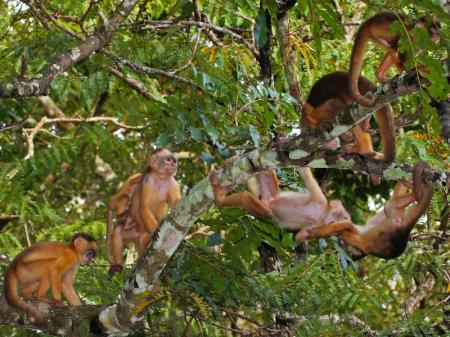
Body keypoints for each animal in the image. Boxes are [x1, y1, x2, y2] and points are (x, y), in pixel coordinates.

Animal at [106, 148, 182, 276]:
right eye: (168, 160)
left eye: (174, 160)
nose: (173, 164)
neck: (160, 178)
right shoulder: (148, 180)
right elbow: (144, 207)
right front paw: (154, 230)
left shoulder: (173, 182)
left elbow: (177, 203)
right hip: (134, 230)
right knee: (119, 229)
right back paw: (118, 265)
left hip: (142, 234)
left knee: (144, 239)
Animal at [298, 159, 434, 258]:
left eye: (349, 248)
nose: (345, 245)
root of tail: (404, 232)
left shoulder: (361, 245)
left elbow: (346, 226)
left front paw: (315, 232)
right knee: (392, 203)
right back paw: (412, 190)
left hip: (391, 222)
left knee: (388, 207)